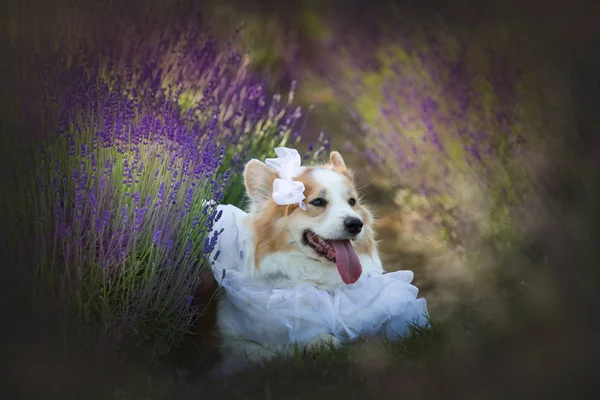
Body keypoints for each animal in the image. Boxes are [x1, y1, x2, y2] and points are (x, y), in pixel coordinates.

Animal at [211, 150, 384, 376]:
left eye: (352, 201)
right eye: (318, 202)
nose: (356, 224)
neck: (307, 279)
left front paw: (321, 342)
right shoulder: (230, 340)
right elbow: (249, 351)